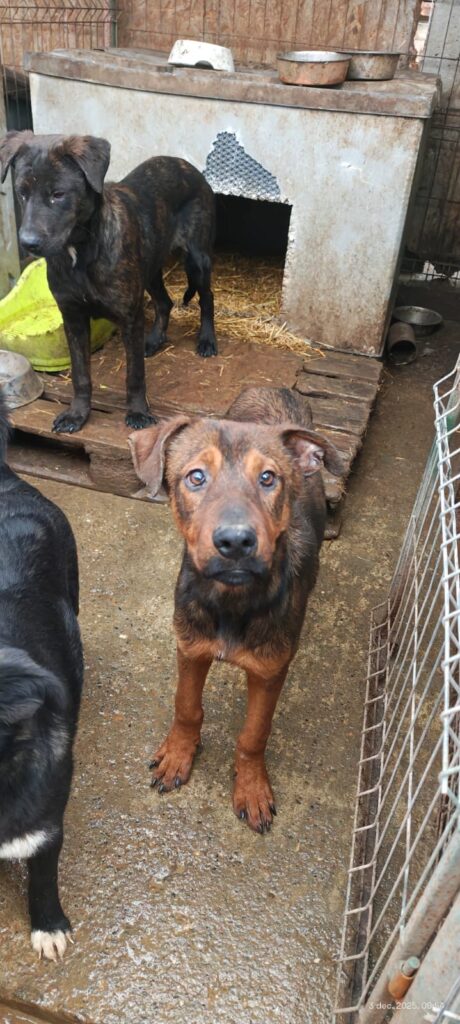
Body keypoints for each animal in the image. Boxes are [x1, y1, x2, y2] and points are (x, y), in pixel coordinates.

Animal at [0, 131, 217, 434]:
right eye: (22, 192)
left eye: (58, 194)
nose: (28, 243)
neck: (80, 250)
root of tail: (186, 165)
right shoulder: (73, 318)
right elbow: (81, 375)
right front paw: (77, 414)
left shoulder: (129, 317)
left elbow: (134, 374)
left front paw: (138, 413)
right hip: (149, 270)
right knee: (164, 302)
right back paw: (154, 340)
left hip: (197, 258)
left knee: (207, 297)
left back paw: (207, 340)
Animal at [129, 387, 342, 833]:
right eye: (195, 477)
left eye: (268, 478)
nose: (235, 542)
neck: (230, 598)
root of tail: (273, 387)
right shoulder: (190, 648)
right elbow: (186, 707)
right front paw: (178, 755)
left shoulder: (270, 671)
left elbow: (253, 735)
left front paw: (252, 788)